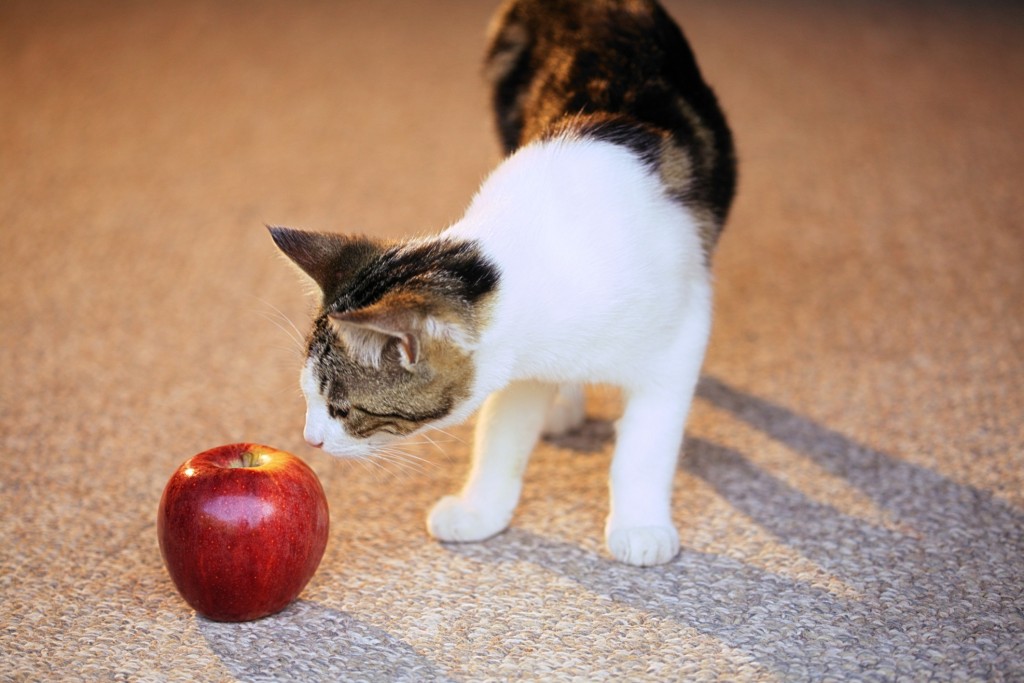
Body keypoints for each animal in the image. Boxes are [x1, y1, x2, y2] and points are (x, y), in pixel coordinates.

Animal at [270, 0, 737, 565]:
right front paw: (481, 510)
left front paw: (641, 524)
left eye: (342, 409)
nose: (309, 439)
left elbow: (646, 443)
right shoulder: (518, 365)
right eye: (309, 398)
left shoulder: (683, 331)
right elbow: (501, 435)